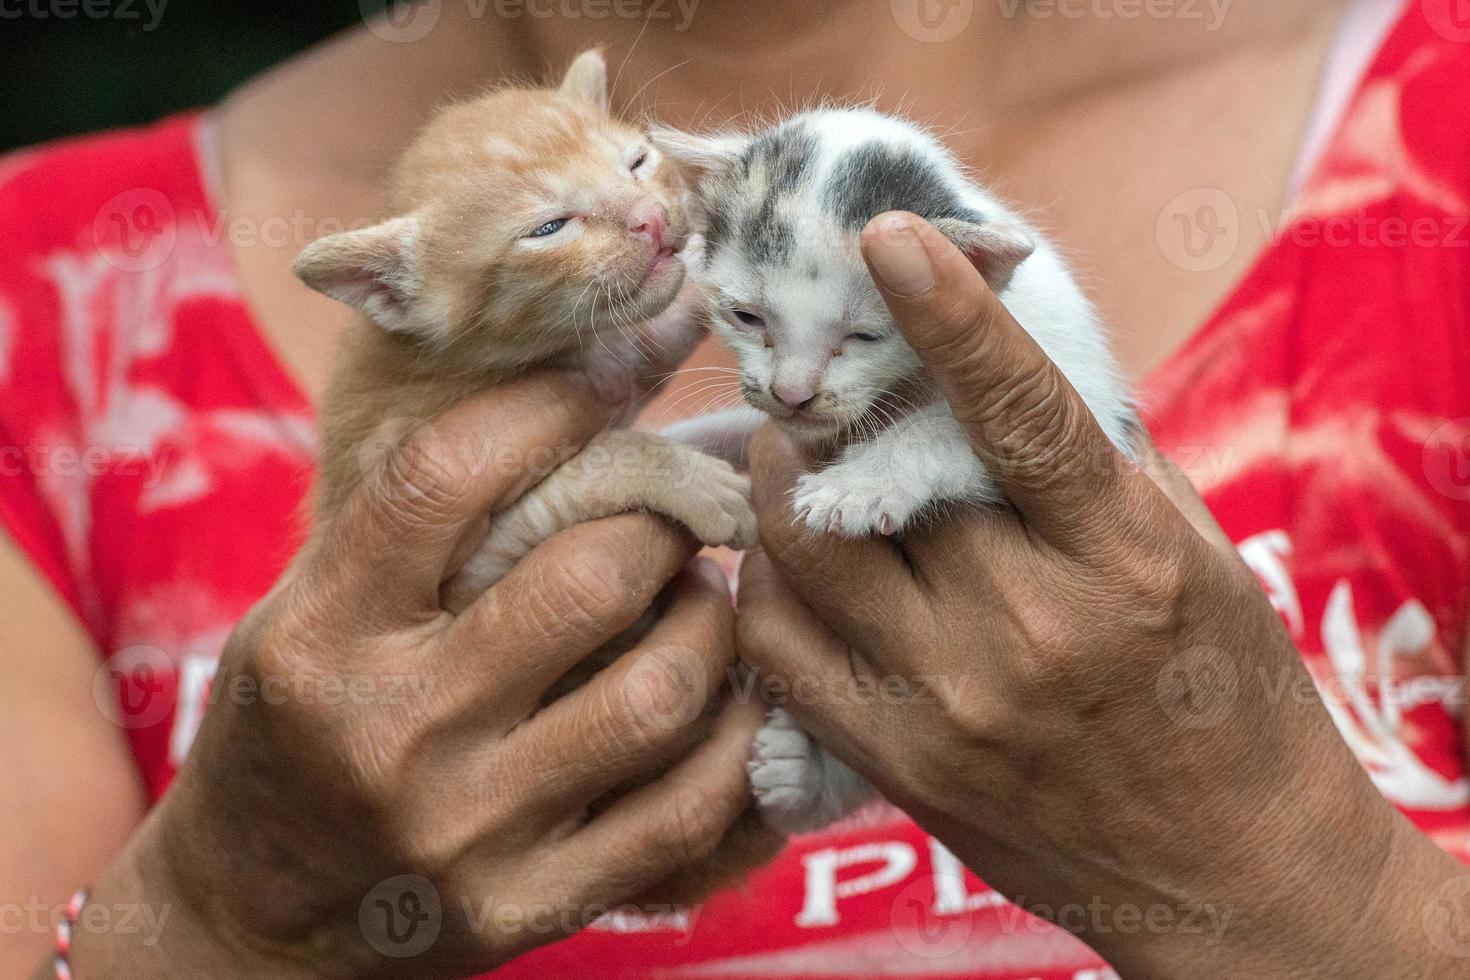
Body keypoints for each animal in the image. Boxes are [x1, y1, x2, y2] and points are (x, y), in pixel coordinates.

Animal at [655, 109, 1134, 834]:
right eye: (746, 315)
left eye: (863, 337)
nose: (793, 393)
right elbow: (731, 430)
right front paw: (659, 454)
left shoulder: (1081, 411)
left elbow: (937, 429)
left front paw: (858, 484)